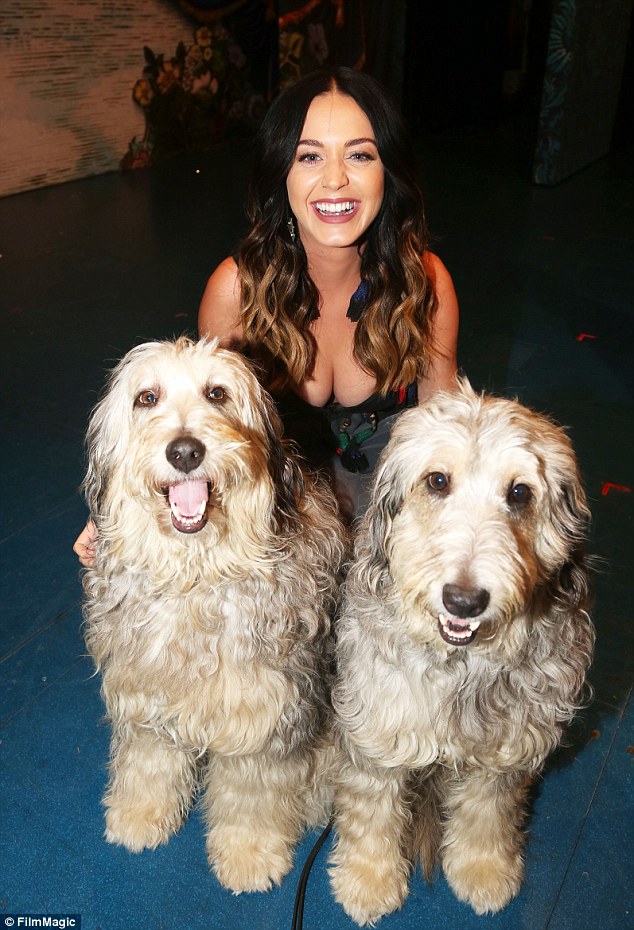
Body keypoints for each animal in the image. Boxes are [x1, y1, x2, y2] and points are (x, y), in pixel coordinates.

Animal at [83, 336, 344, 892]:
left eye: (217, 393)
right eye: (147, 398)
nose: (185, 451)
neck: (195, 578)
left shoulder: (263, 713)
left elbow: (251, 796)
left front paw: (249, 854)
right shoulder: (145, 690)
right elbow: (148, 762)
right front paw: (140, 815)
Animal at [328, 376, 592, 920]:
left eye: (519, 492)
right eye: (437, 481)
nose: (464, 600)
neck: (460, 665)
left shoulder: (506, 750)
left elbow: (487, 814)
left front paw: (483, 869)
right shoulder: (378, 730)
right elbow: (371, 812)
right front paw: (367, 879)